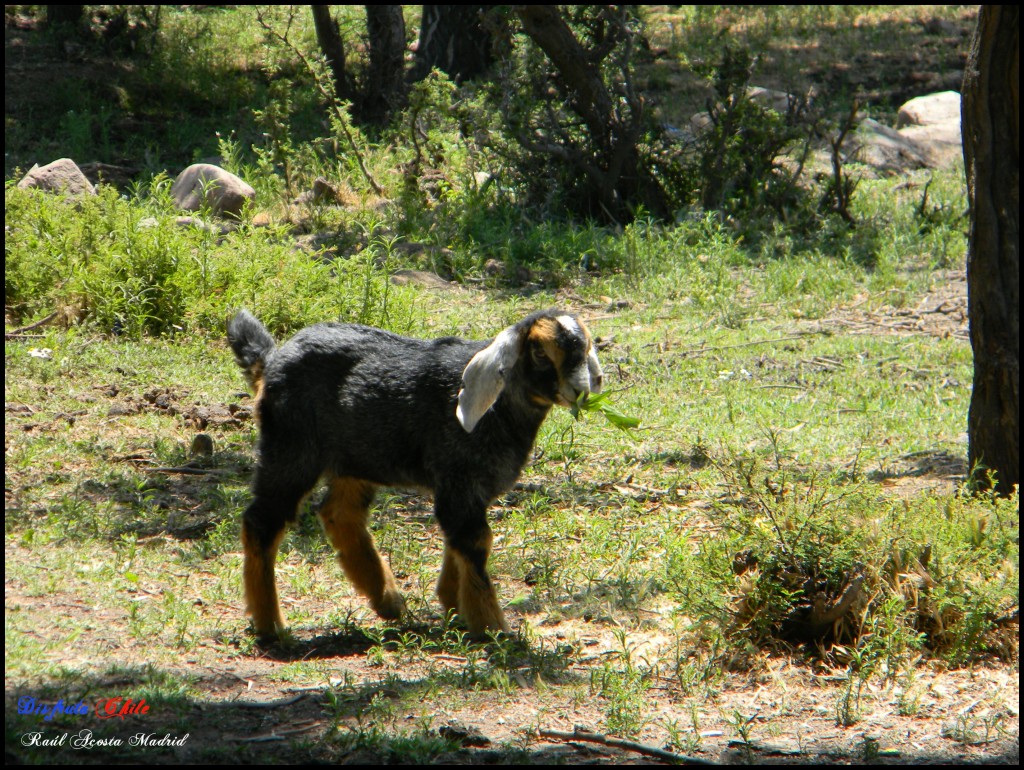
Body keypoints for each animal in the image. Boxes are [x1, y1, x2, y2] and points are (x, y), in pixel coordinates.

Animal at [228, 307, 602, 638]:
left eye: (584, 349)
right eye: (539, 352)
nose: (580, 390)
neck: (501, 408)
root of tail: (272, 362)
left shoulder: (465, 487)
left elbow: (458, 540)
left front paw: (454, 606)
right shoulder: (459, 479)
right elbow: (474, 540)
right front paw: (492, 628)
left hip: (357, 457)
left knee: (340, 514)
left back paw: (387, 601)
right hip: (291, 449)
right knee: (261, 522)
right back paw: (271, 626)